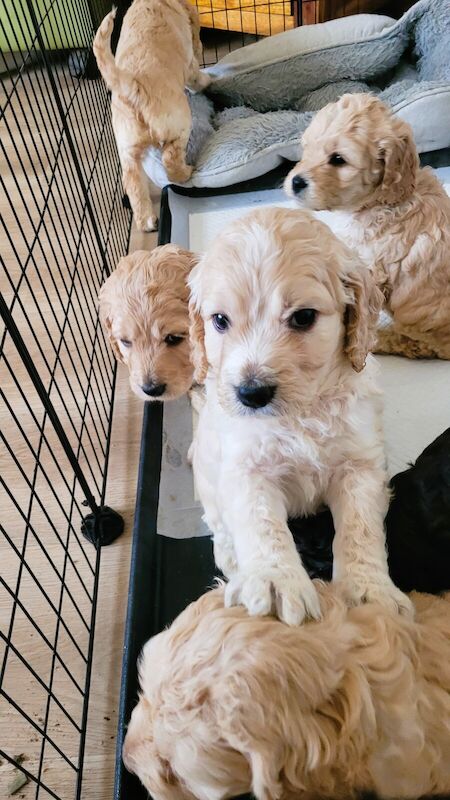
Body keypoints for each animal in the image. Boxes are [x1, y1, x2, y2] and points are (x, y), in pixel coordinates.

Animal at [92, 0, 211, 231]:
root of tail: (132, 86)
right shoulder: (190, 63)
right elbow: (196, 76)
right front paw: (208, 81)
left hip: (127, 148)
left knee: (133, 181)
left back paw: (147, 221)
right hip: (179, 124)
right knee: (171, 161)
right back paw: (186, 172)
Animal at [186, 209, 412, 628]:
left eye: (303, 317)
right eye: (220, 320)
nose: (251, 393)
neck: (302, 412)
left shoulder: (361, 465)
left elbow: (361, 528)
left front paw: (370, 592)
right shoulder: (246, 467)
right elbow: (261, 524)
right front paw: (275, 581)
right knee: (221, 530)